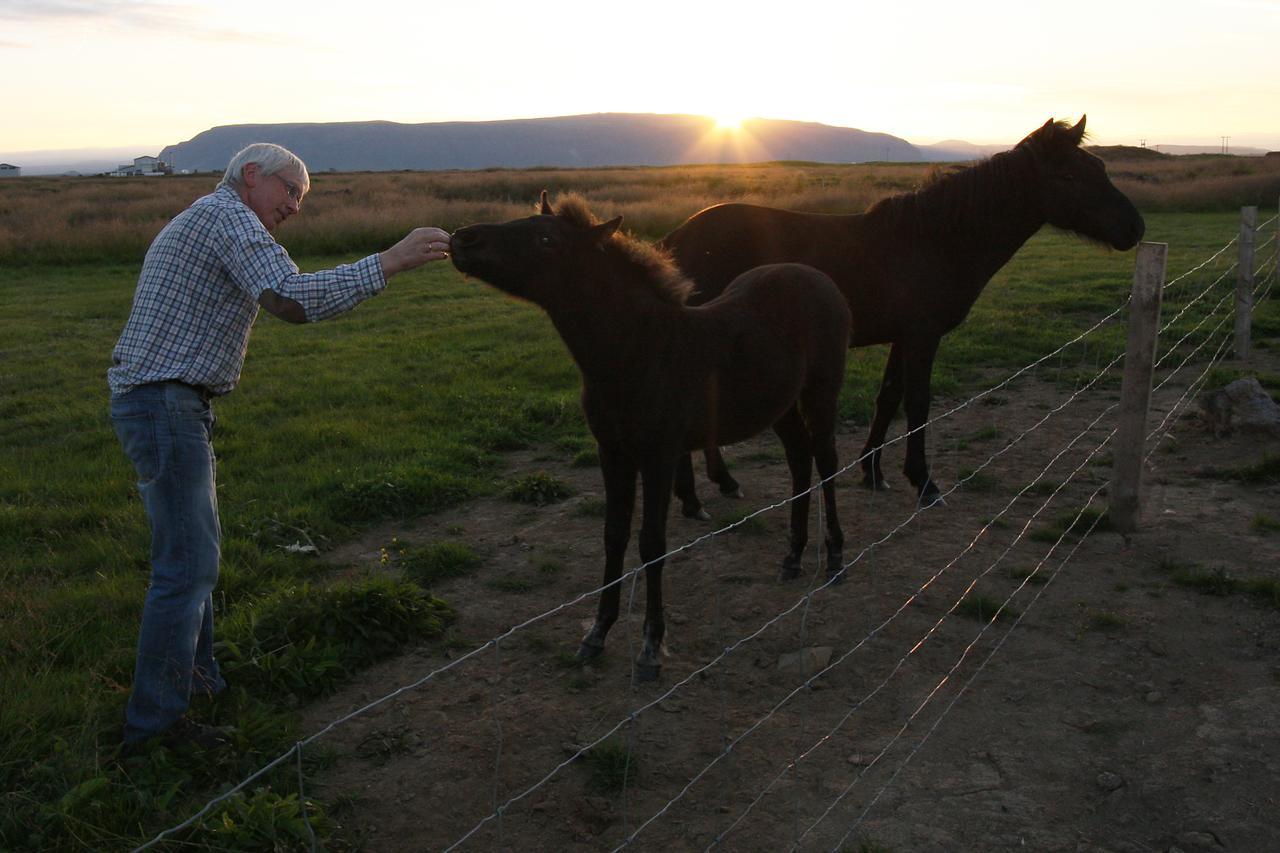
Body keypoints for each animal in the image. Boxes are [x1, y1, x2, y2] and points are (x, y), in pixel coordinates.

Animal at [450, 192, 849, 676]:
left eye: (547, 239)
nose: (461, 238)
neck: (639, 352)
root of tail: (820, 280)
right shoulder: (613, 453)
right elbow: (614, 535)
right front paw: (597, 633)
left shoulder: (660, 455)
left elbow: (652, 543)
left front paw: (651, 646)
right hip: (781, 405)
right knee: (799, 460)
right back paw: (793, 556)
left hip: (821, 390)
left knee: (826, 459)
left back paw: (835, 556)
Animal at [665, 113, 1146, 512]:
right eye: (1069, 175)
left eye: (1100, 169)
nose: (1135, 227)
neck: (934, 241)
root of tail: (678, 238)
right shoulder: (922, 336)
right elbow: (917, 404)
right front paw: (925, 483)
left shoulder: (903, 337)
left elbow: (888, 398)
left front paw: (873, 472)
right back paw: (691, 499)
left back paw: (723, 482)